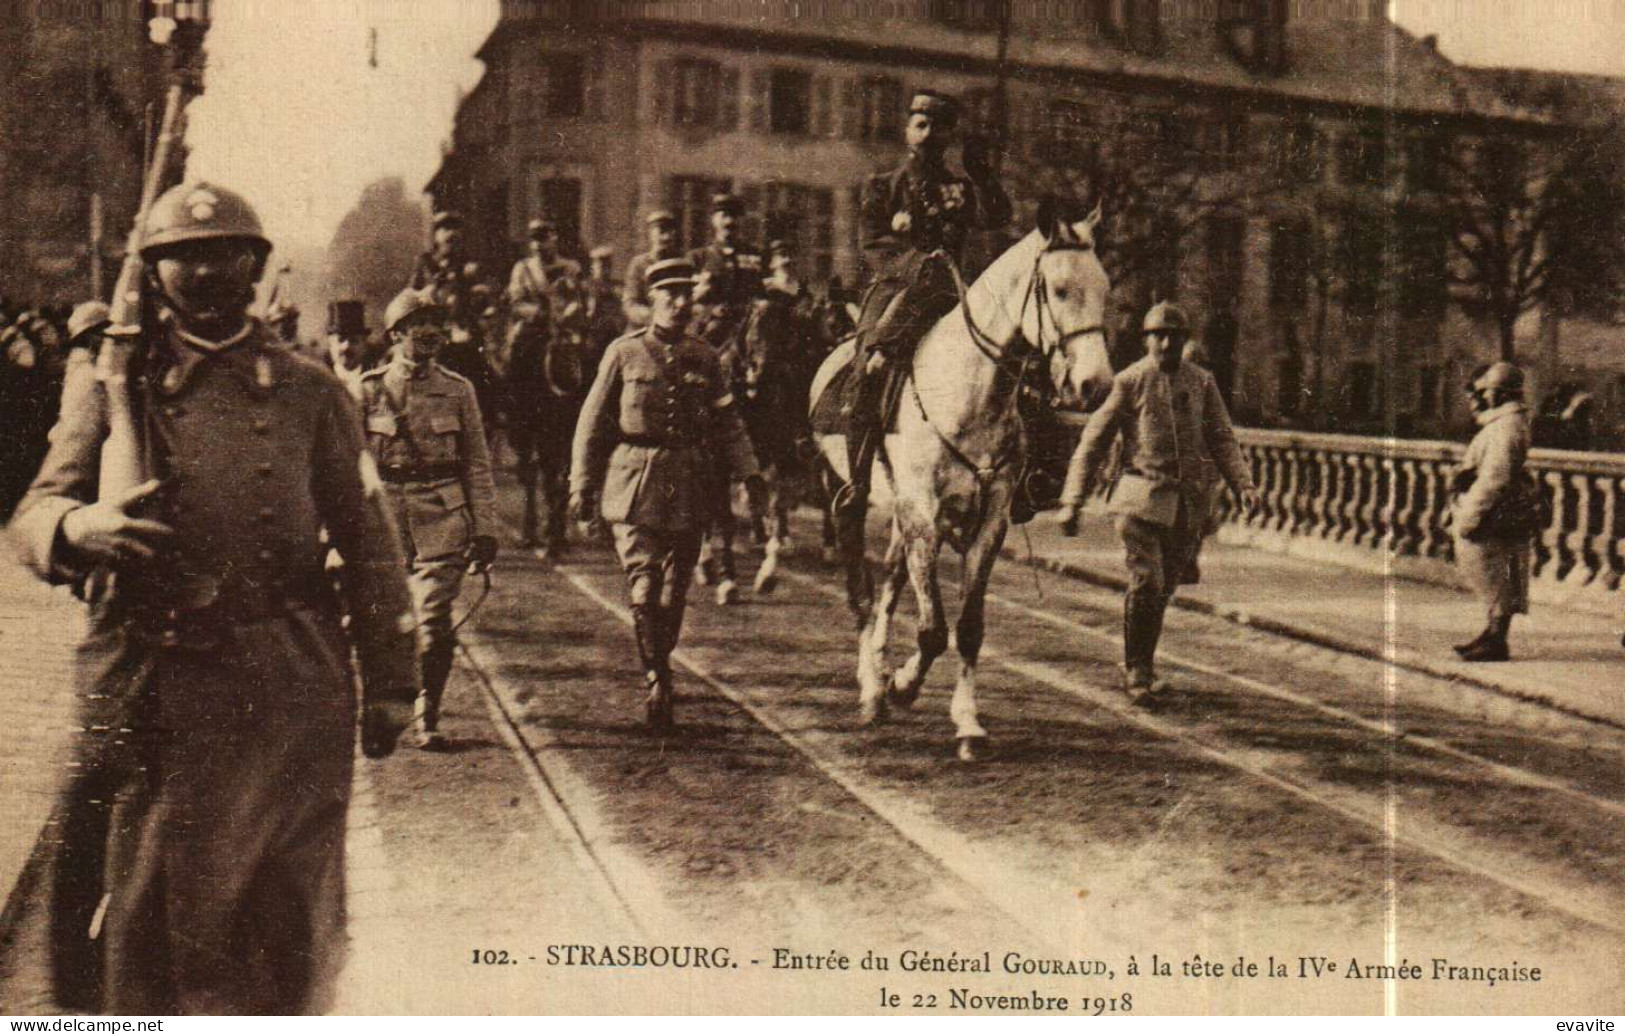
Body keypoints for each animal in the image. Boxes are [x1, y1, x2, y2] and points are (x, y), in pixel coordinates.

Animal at [812, 201, 1118, 760]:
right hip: (848, 496)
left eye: (1104, 288)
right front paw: (902, 686)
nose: (1096, 385)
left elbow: (969, 627)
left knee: (890, 582)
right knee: (861, 591)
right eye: (1059, 289)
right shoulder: (924, 517)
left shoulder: (987, 520)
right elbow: (933, 629)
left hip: (901, 513)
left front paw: (968, 721)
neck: (969, 390)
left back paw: (882, 667)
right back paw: (871, 687)